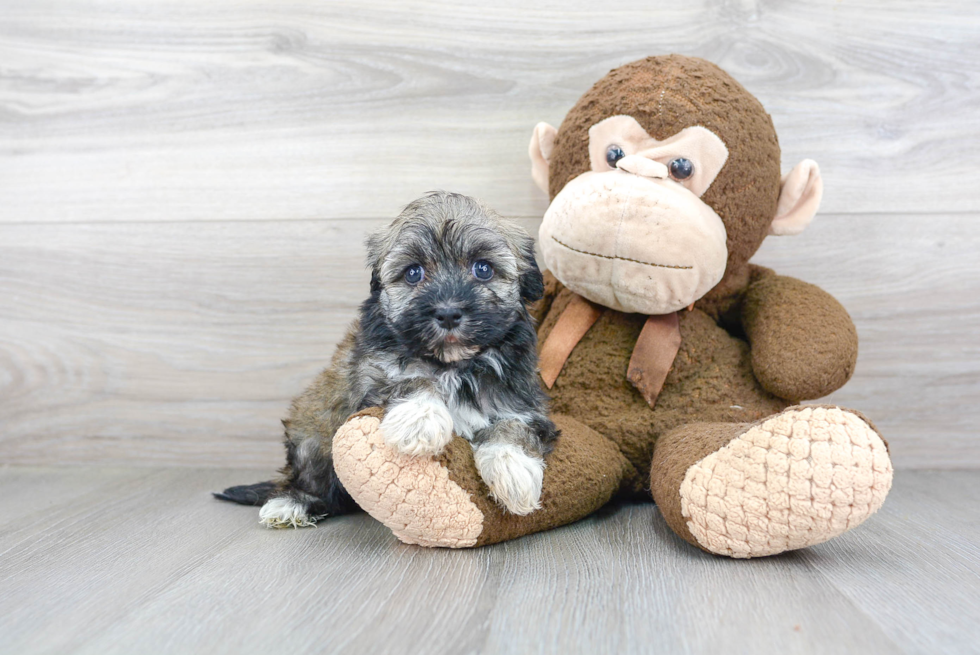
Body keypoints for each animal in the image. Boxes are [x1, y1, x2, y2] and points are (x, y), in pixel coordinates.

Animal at [220, 191, 560, 528]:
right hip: (313, 435)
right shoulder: (369, 376)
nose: (448, 312)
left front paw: (512, 468)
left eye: (483, 269)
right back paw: (292, 503)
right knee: (315, 483)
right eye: (413, 273)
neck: (452, 365)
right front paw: (419, 419)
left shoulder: (523, 403)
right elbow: (409, 378)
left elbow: (514, 426)